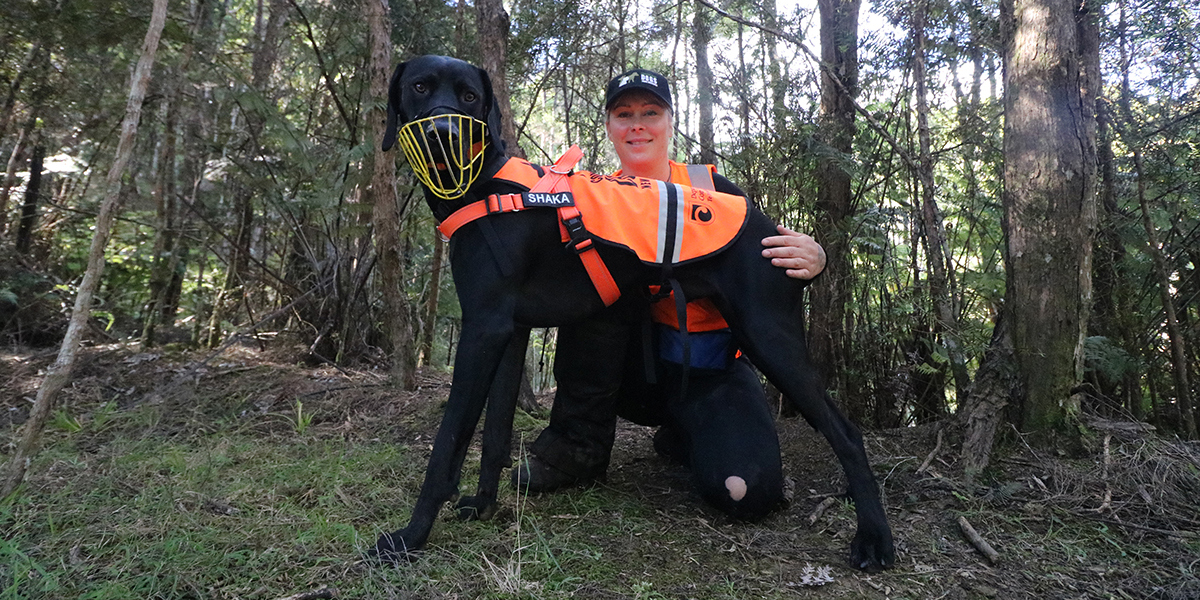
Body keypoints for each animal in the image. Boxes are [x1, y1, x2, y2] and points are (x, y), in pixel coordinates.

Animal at [374, 54, 892, 568]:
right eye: (420, 87)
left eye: (469, 96)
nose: (443, 132)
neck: (487, 185)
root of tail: (768, 228)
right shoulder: (510, 331)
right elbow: (495, 436)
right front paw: (482, 507)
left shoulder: (483, 329)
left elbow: (448, 445)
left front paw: (410, 536)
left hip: (770, 340)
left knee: (847, 434)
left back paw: (875, 537)